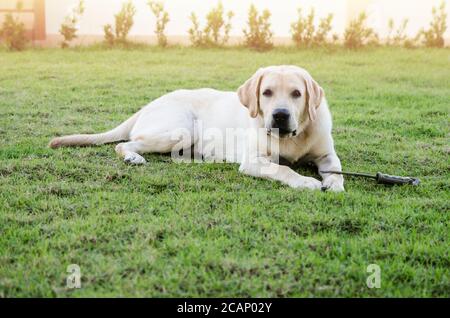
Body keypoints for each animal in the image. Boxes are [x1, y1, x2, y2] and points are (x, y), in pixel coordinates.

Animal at [49, 64, 344, 191]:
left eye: (296, 94)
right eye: (267, 92)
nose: (280, 116)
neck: (292, 138)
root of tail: (149, 104)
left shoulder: (327, 155)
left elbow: (337, 170)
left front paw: (333, 183)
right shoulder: (253, 160)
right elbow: (283, 169)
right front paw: (306, 181)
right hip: (181, 130)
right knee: (125, 143)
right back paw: (133, 157)